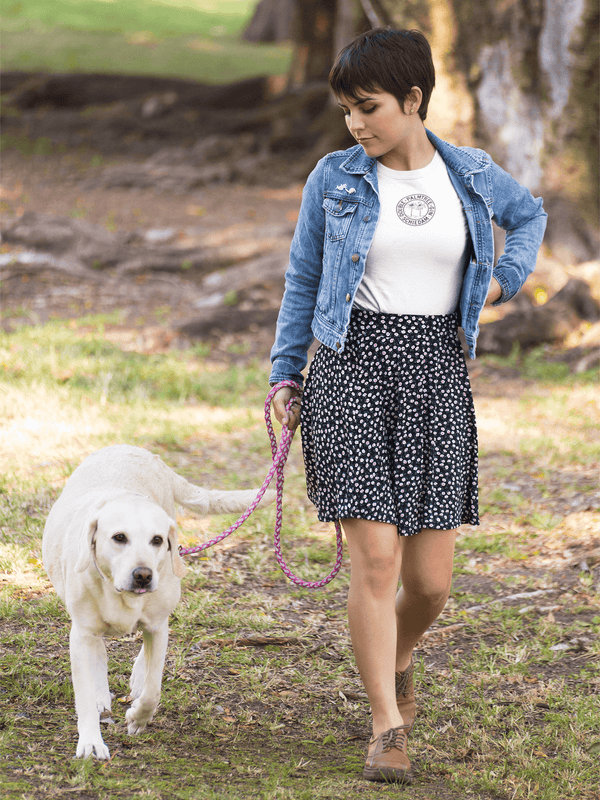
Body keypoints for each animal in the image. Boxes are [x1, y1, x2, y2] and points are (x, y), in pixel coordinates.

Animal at [39, 446, 270, 760]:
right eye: (119, 537)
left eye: (157, 540)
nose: (144, 575)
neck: (119, 592)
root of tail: (135, 449)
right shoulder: (82, 633)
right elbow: (84, 691)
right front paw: (90, 741)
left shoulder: (159, 627)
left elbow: (153, 688)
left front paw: (138, 717)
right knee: (98, 652)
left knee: (145, 659)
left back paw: (137, 678)